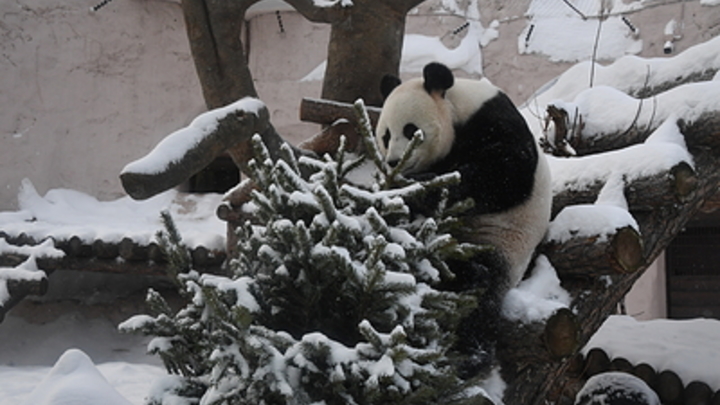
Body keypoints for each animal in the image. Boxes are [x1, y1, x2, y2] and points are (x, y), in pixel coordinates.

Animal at [376, 61, 552, 378]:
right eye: (385, 135)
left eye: (410, 130)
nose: (395, 161)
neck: (455, 106)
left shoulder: (494, 121)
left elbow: (503, 175)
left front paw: (425, 185)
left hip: (499, 244)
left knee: (475, 291)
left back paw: (470, 358)